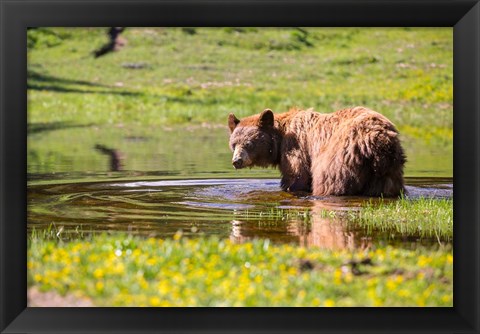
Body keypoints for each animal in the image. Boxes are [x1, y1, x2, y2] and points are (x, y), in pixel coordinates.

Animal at [228, 106, 404, 196]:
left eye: (249, 143)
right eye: (233, 144)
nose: (237, 161)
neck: (280, 137)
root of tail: (376, 137)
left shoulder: (295, 147)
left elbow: (297, 174)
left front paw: (290, 187)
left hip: (341, 154)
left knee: (330, 180)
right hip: (388, 166)